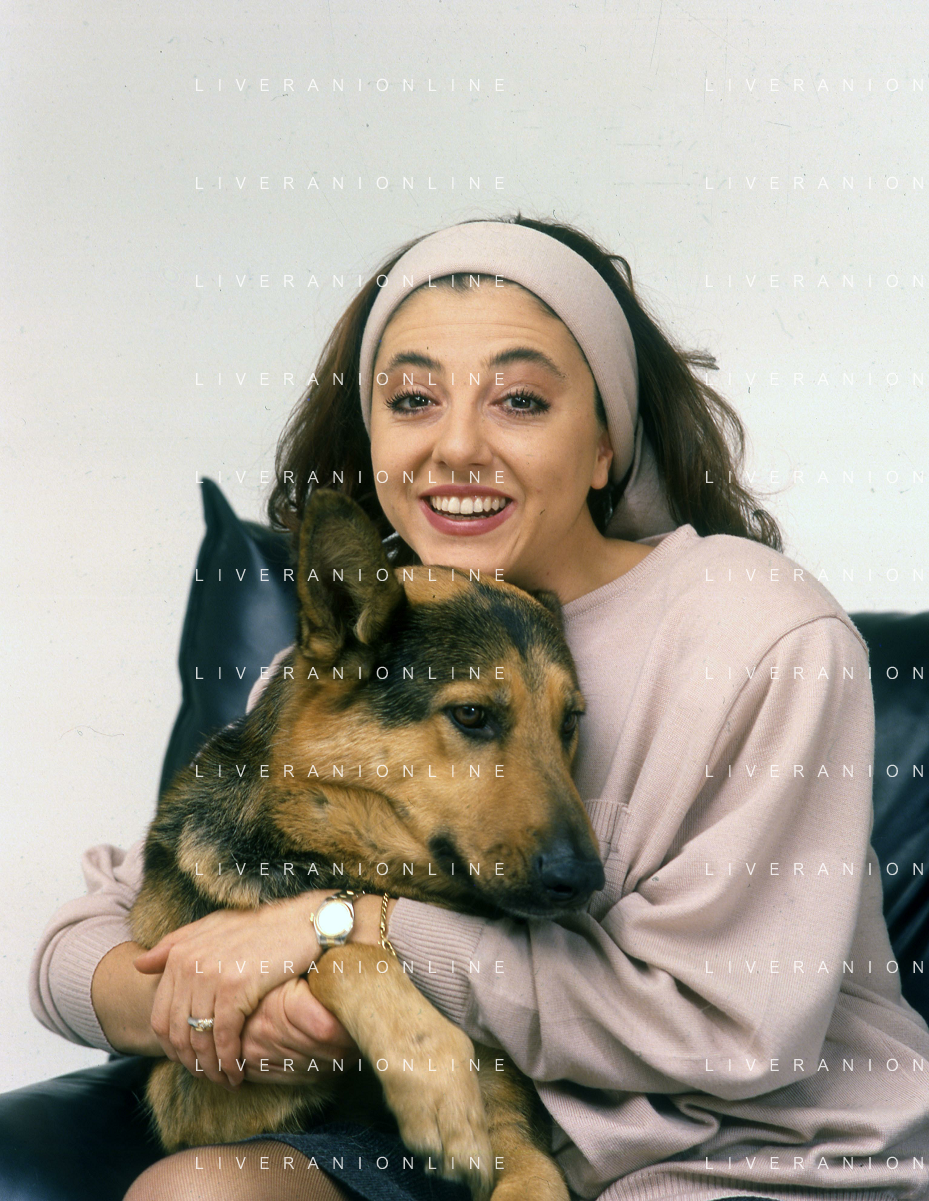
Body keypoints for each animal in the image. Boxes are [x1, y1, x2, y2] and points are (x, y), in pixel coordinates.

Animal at [131, 488, 605, 1201]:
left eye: (569, 722)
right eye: (472, 715)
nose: (584, 880)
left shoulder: (523, 1147)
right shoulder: (186, 1089)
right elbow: (346, 959)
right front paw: (438, 1084)